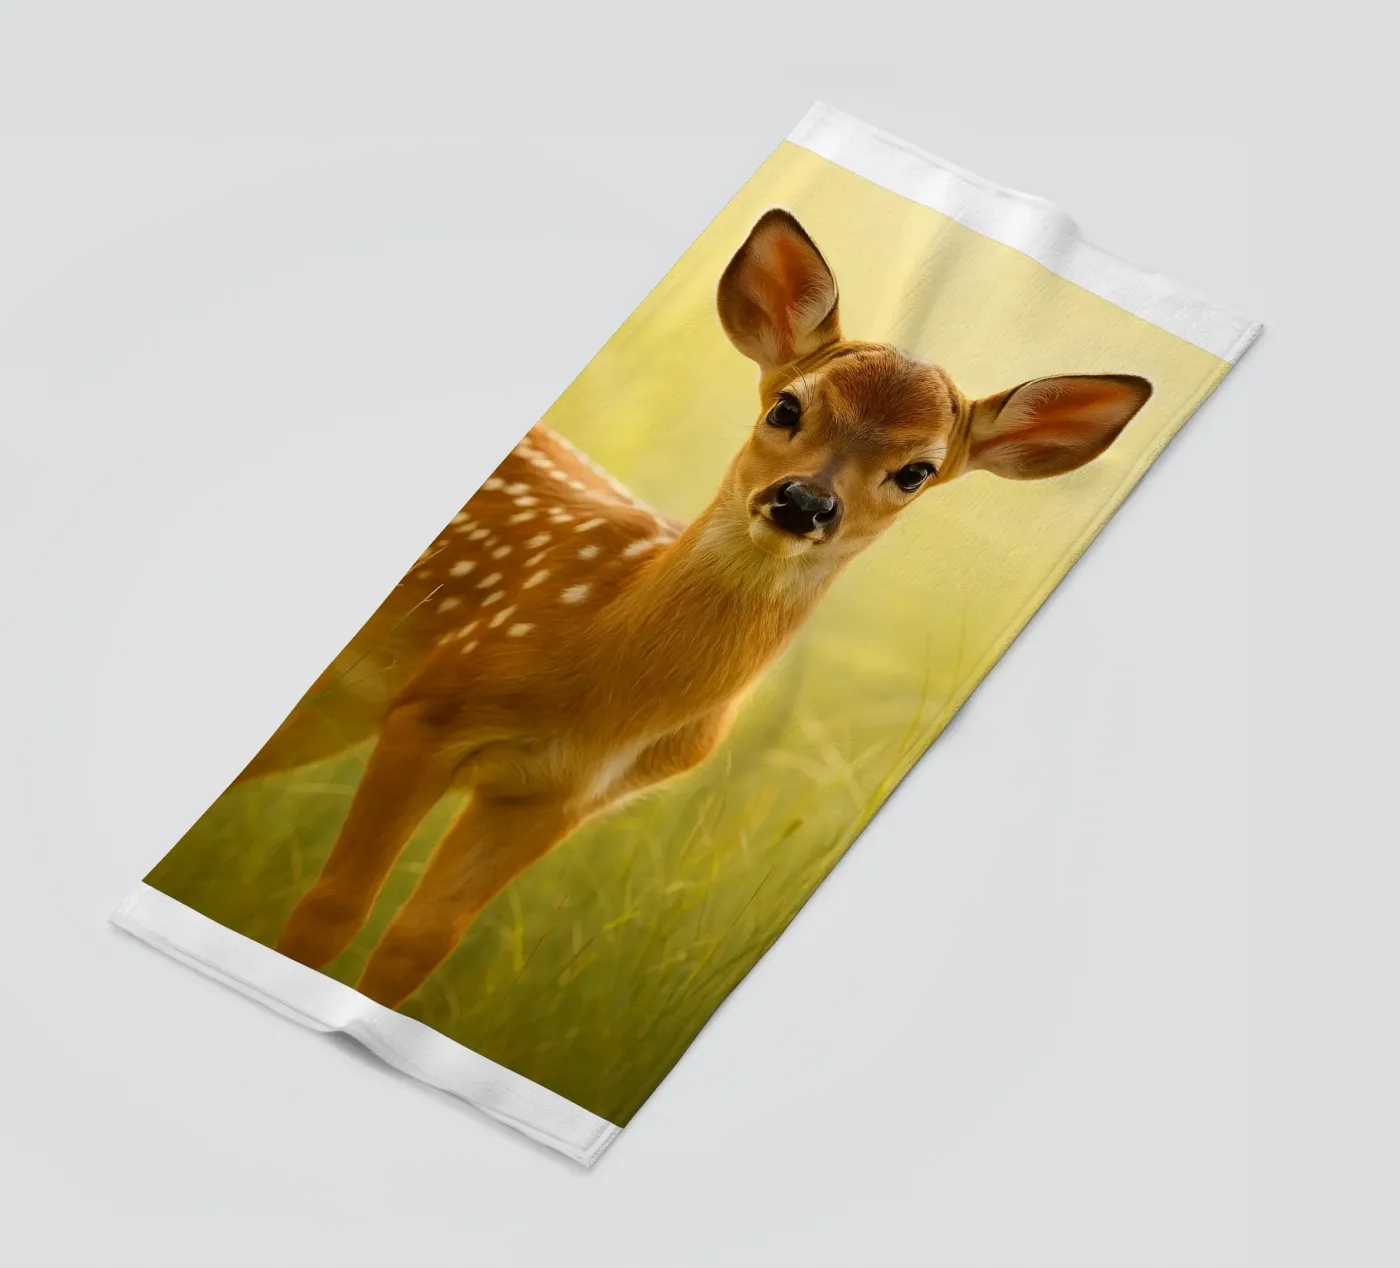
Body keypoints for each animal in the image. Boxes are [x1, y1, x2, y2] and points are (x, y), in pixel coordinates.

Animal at [253, 208, 1153, 1009]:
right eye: (787, 406)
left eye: (917, 471)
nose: (803, 502)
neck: (600, 688)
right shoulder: (430, 712)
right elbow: (331, 910)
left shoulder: (553, 799)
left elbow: (417, 947)